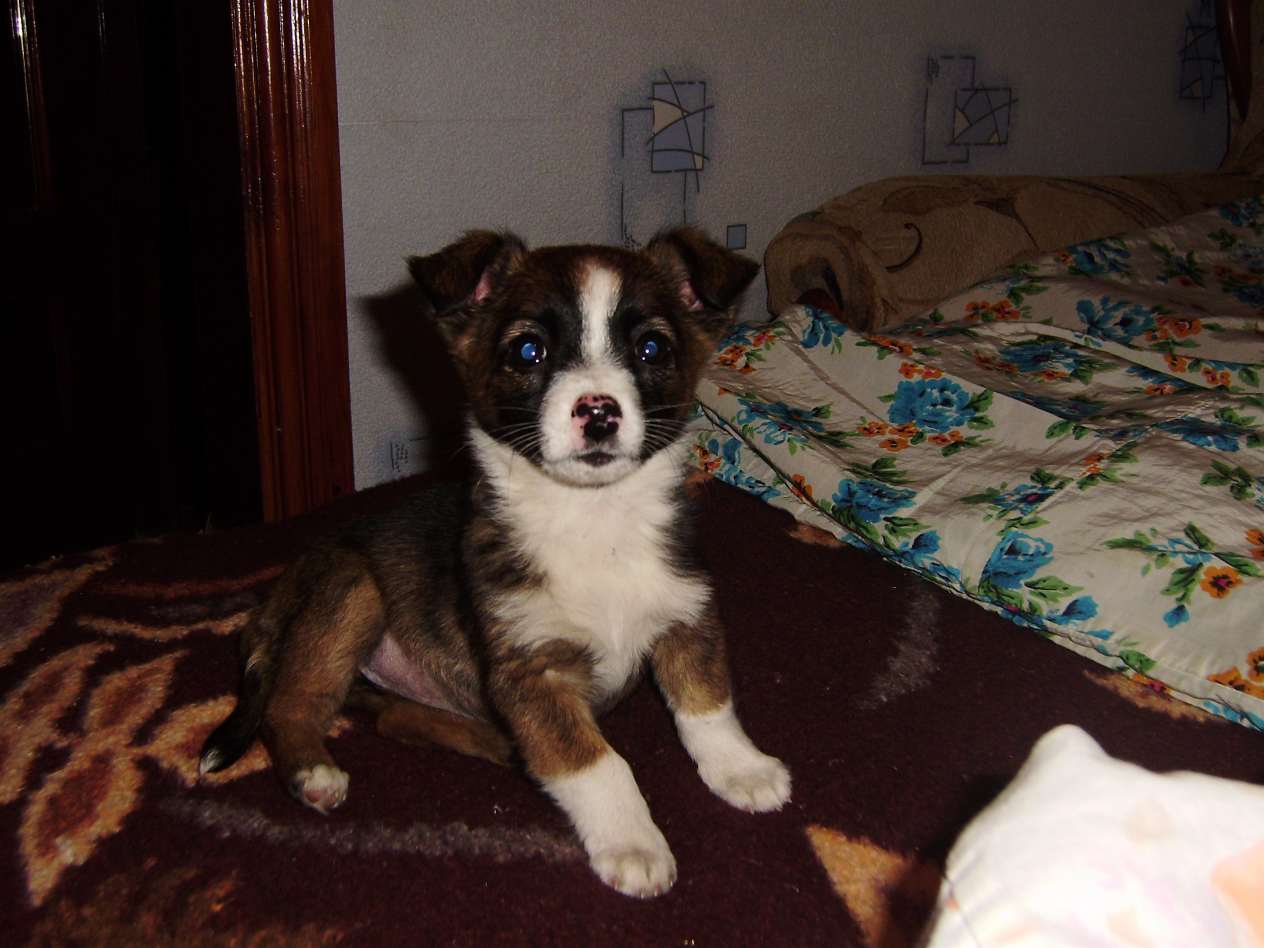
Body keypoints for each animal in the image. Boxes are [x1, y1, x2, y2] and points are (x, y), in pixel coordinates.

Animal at [199, 227, 791, 897]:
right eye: (529, 350)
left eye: (651, 347)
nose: (598, 411)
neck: (595, 520)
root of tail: (268, 607)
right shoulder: (533, 669)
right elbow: (598, 761)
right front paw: (632, 841)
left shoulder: (687, 619)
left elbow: (707, 705)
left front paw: (741, 769)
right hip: (350, 592)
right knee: (290, 706)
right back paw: (312, 773)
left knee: (396, 719)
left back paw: (493, 740)